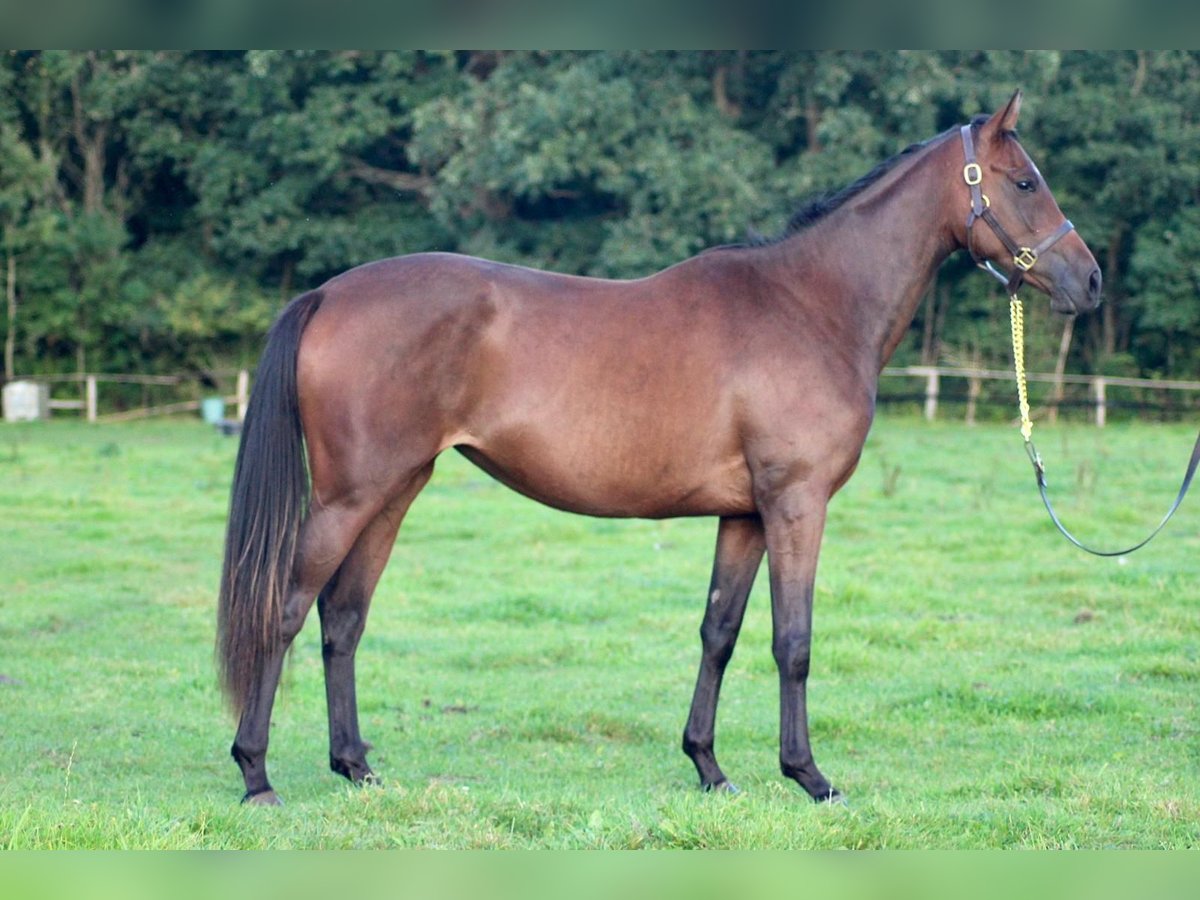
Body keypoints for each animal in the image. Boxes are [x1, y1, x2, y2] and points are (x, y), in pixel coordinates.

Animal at [217, 90, 1102, 805]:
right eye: (1025, 182)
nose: (1090, 281)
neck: (810, 304)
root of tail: (329, 292)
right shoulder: (796, 504)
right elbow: (793, 641)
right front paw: (809, 776)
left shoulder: (745, 515)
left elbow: (720, 632)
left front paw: (709, 767)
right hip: (351, 496)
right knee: (286, 608)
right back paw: (256, 774)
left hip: (396, 489)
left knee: (343, 617)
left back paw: (355, 766)